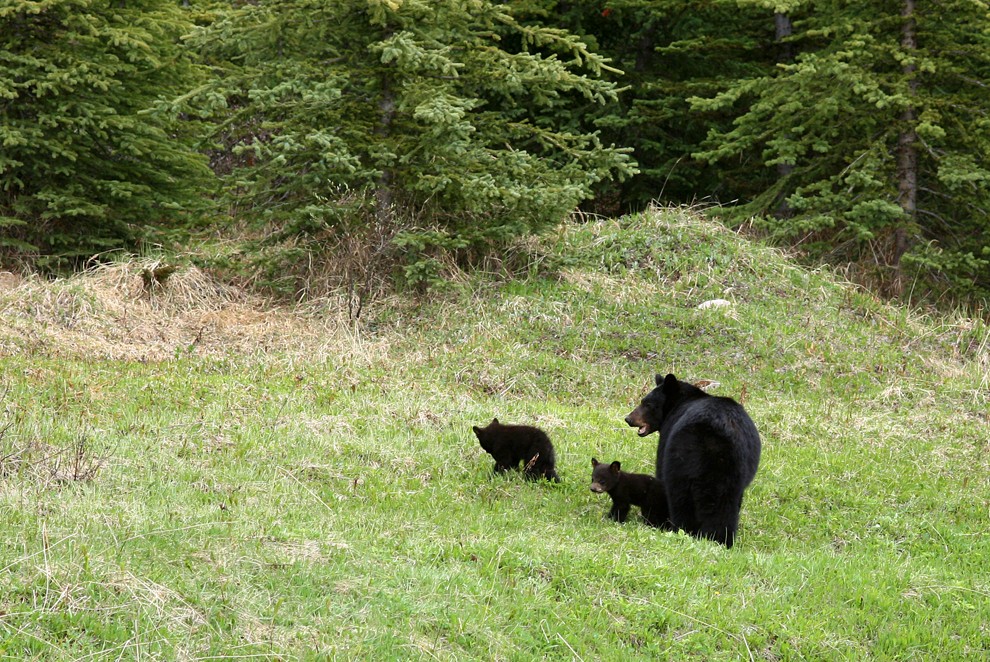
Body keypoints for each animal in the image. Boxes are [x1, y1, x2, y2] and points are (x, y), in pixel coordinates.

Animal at [624, 374, 764, 548]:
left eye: (647, 404)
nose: (628, 418)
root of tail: (714, 438)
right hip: (733, 471)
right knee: (726, 505)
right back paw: (721, 539)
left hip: (680, 461)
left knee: (680, 498)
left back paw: (682, 529)